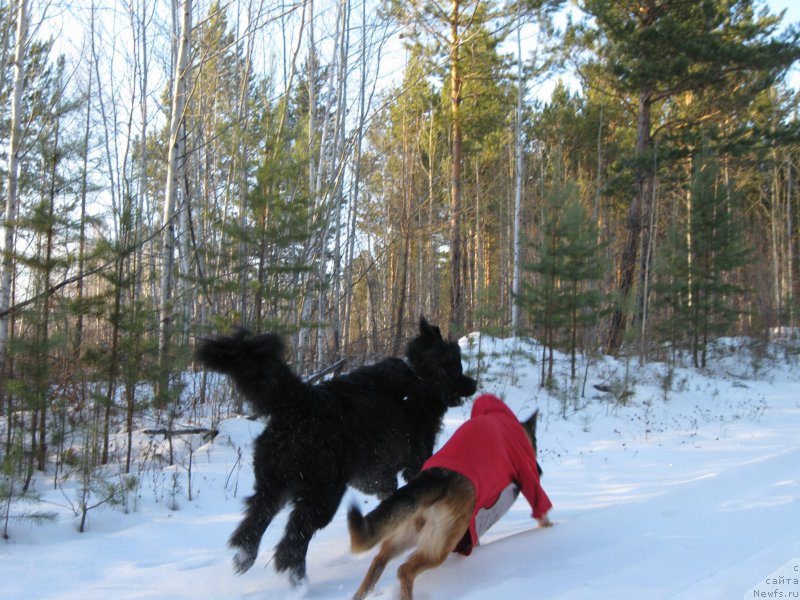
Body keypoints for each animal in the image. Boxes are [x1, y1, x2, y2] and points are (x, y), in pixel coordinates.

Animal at [193, 318, 476, 584]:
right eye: (457, 367)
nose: (473, 383)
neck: (421, 377)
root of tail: (301, 399)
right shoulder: (414, 461)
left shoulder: (375, 475)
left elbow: (389, 493)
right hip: (323, 493)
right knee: (294, 538)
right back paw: (297, 581)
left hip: (274, 483)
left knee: (254, 522)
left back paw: (245, 557)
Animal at [346, 394, 552, 600]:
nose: (540, 471)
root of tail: (434, 479)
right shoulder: (525, 471)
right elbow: (540, 506)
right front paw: (551, 529)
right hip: (441, 544)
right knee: (405, 570)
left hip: (408, 534)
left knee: (379, 559)